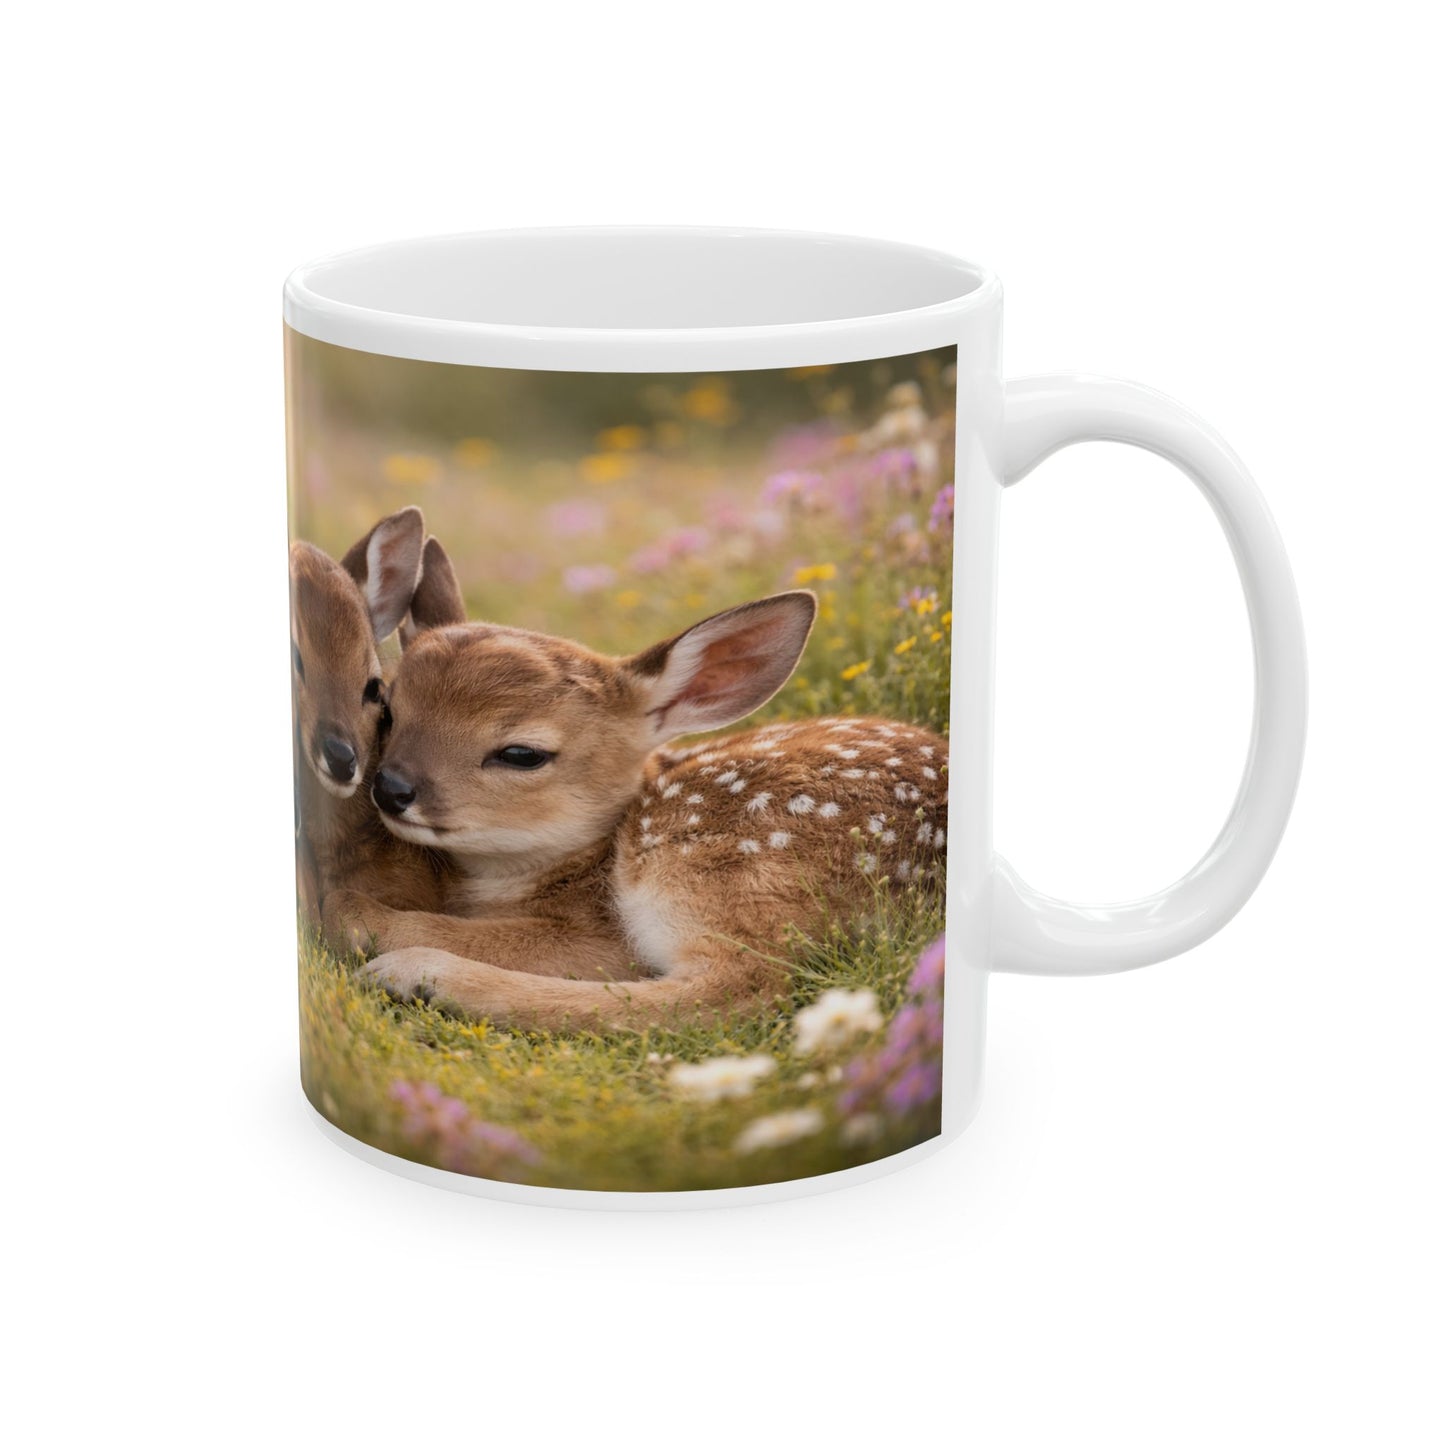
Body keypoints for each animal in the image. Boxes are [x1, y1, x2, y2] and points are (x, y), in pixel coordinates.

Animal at [324, 582, 950, 1032]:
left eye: (522, 753)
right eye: (390, 711)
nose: (392, 787)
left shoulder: (605, 935)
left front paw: (350, 912)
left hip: (712, 852)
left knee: (734, 989)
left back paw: (417, 974)